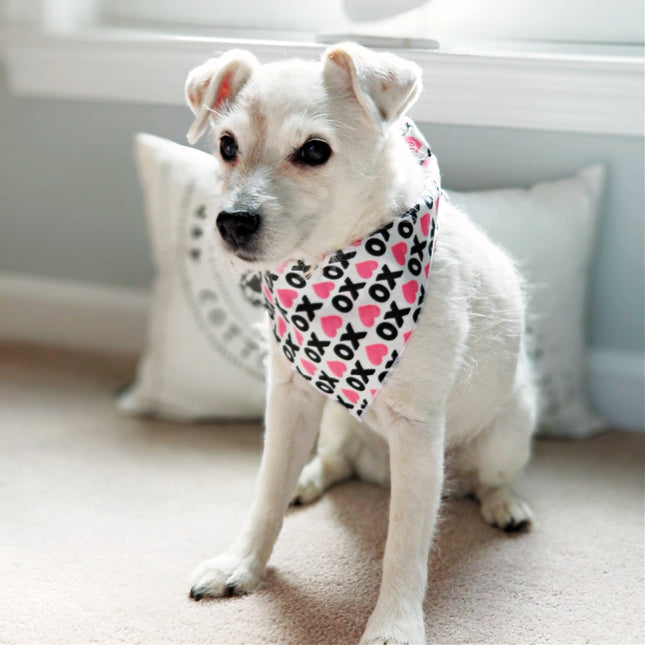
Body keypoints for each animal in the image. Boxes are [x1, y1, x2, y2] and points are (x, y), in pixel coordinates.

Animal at [184, 42, 536, 640]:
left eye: (314, 151)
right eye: (227, 145)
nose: (232, 222)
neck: (333, 266)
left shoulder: (417, 433)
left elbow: (405, 544)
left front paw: (394, 623)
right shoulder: (291, 399)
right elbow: (266, 494)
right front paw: (242, 565)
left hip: (504, 437)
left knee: (491, 479)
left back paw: (503, 503)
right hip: (334, 420)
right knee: (336, 462)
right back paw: (308, 479)